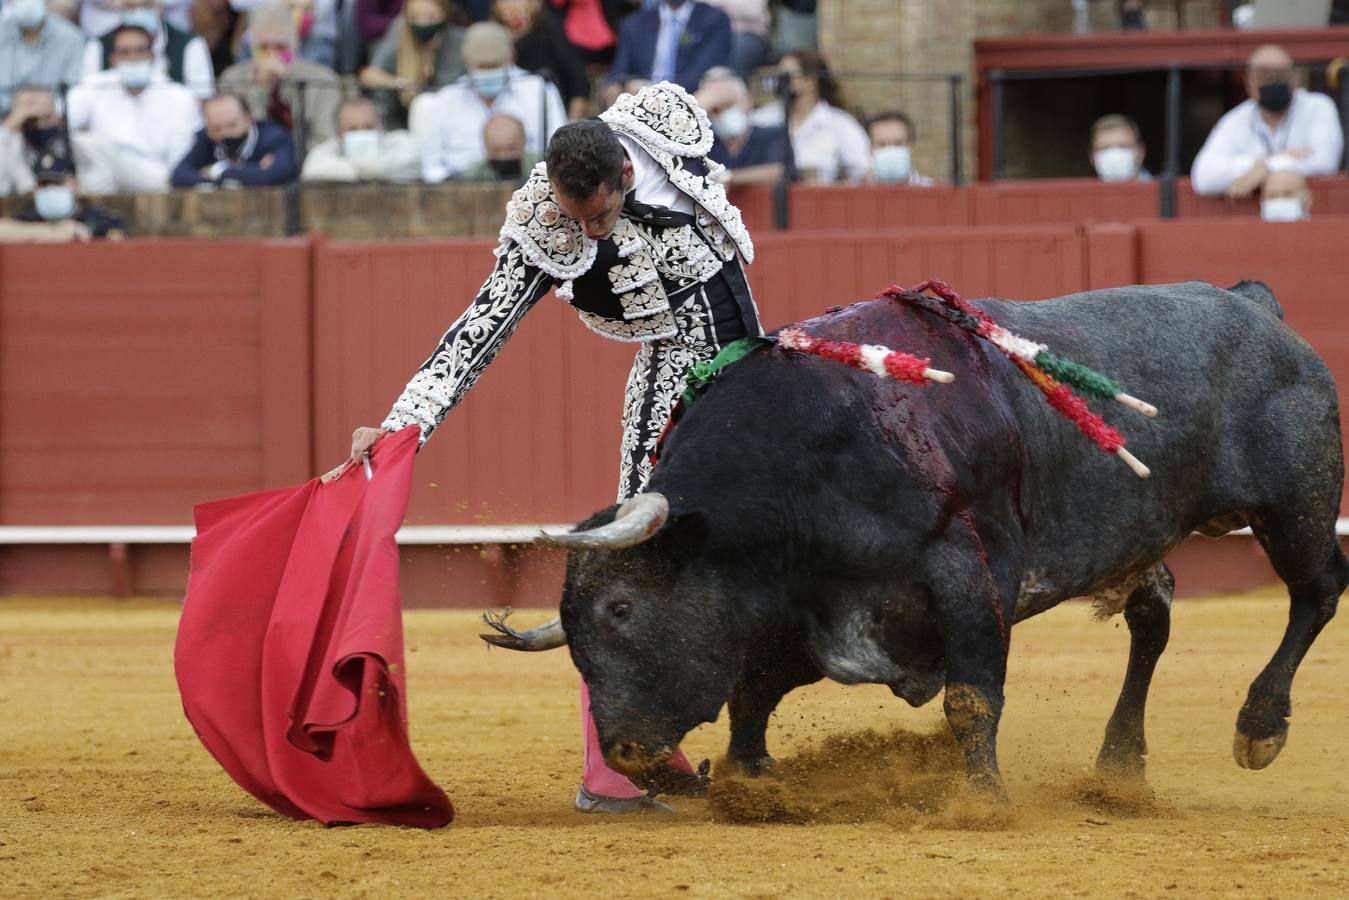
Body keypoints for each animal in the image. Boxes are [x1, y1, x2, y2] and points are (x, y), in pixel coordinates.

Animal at [480, 282, 1343, 804]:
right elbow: (752, 689)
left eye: (622, 610)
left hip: (1295, 507)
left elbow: (970, 697)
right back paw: (1118, 766)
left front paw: (983, 800)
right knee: (1152, 615)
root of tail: (1255, 307)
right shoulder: (826, 607)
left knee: (1316, 591)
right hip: (1146, 537)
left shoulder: (968, 574)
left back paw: (1258, 727)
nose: (623, 752)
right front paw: (752, 781)